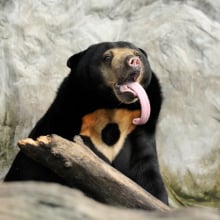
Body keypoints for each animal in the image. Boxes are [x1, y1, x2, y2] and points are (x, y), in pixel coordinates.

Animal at [4, 40, 168, 205]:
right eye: (107, 57)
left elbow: (147, 173)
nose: (134, 61)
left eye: (138, 55)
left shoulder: (138, 130)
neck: (111, 106)